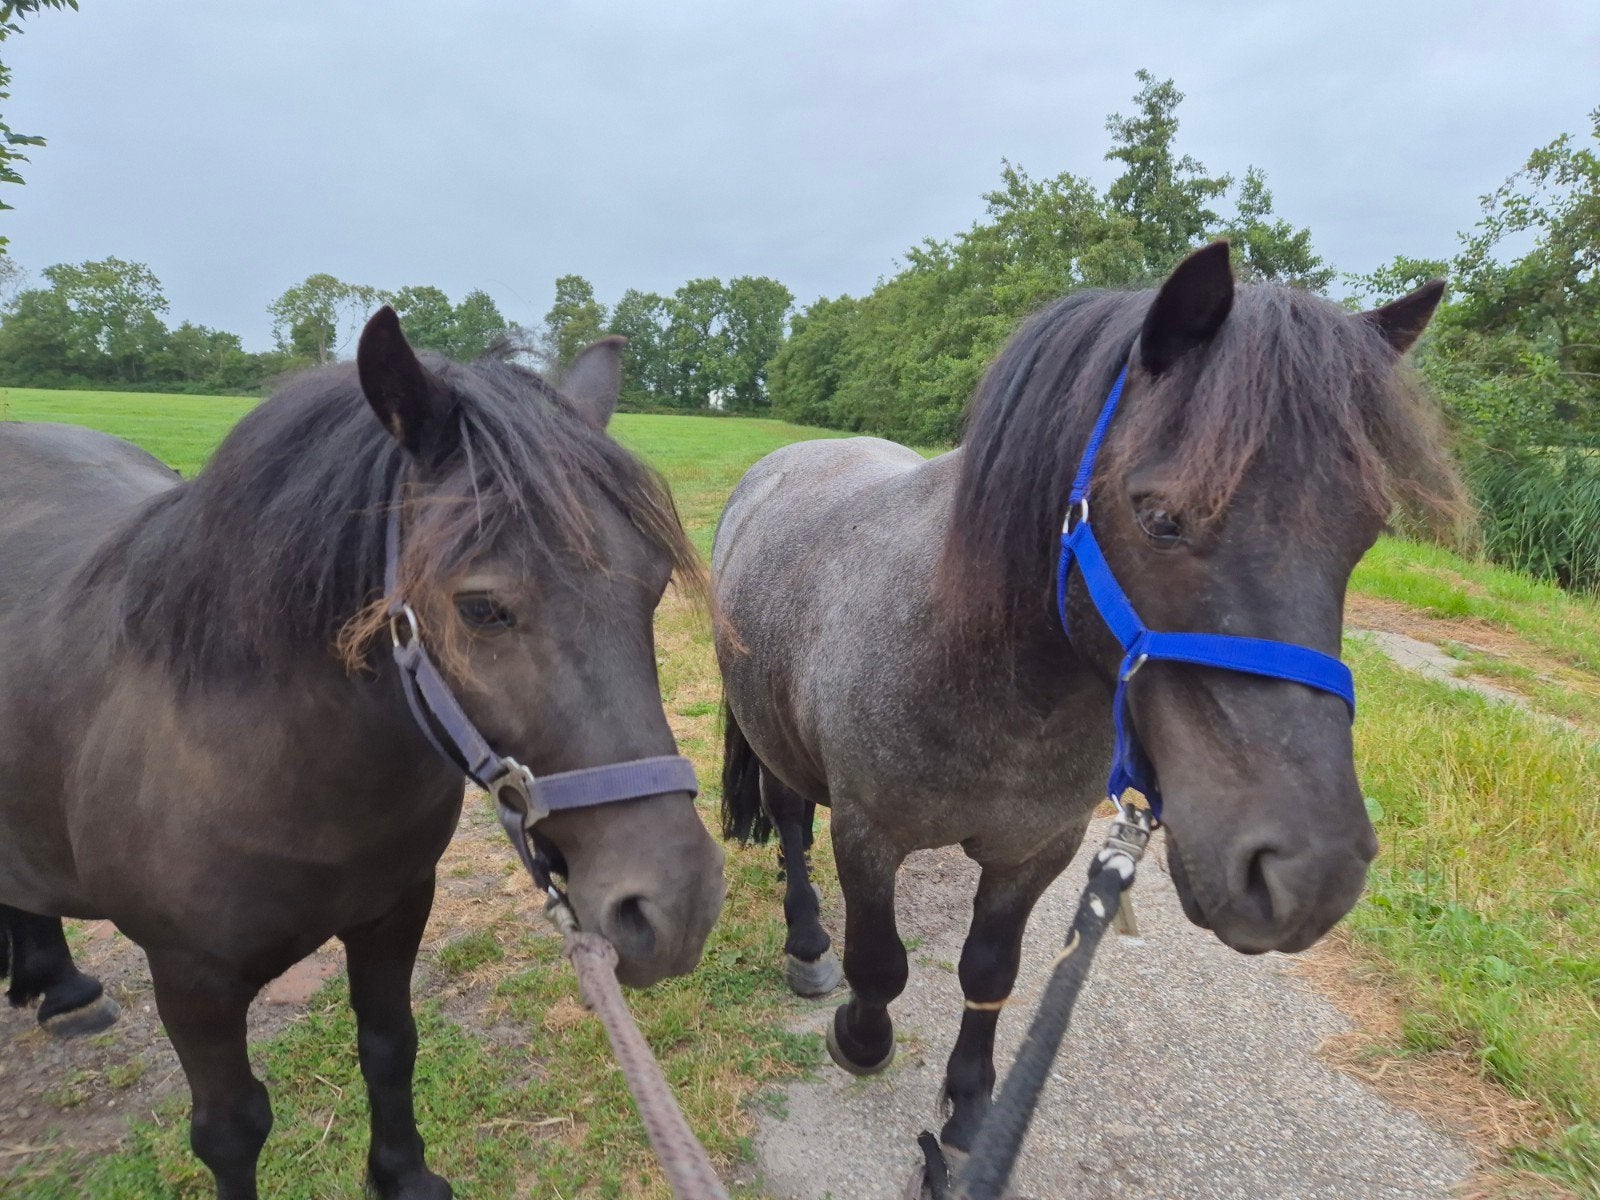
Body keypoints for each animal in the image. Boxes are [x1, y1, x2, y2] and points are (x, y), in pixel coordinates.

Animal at [0, 309, 726, 1200]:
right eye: (482, 608)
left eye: (652, 585)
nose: (678, 905)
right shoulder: (190, 977)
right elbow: (230, 1129)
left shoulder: (395, 908)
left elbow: (389, 1046)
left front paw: (405, 1177)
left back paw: (62, 987)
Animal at [713, 242, 1461, 1162]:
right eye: (1160, 518)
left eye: (1365, 531)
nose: (1309, 875)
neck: (983, 676)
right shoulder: (868, 835)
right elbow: (880, 963)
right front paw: (860, 1037)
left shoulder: (1036, 850)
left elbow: (989, 971)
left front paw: (969, 1110)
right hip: (775, 744)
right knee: (789, 825)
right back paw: (807, 943)